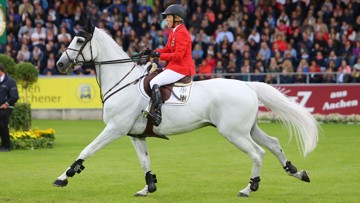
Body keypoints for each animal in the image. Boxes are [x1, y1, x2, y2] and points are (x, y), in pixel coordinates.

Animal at [52, 21, 318, 197]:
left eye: (79, 40)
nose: (60, 64)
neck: (123, 81)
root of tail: (246, 85)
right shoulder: (136, 134)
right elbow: (144, 162)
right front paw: (149, 187)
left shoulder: (114, 129)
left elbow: (87, 150)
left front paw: (63, 177)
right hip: (247, 129)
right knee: (273, 143)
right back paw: (296, 172)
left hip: (233, 132)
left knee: (257, 153)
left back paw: (249, 187)